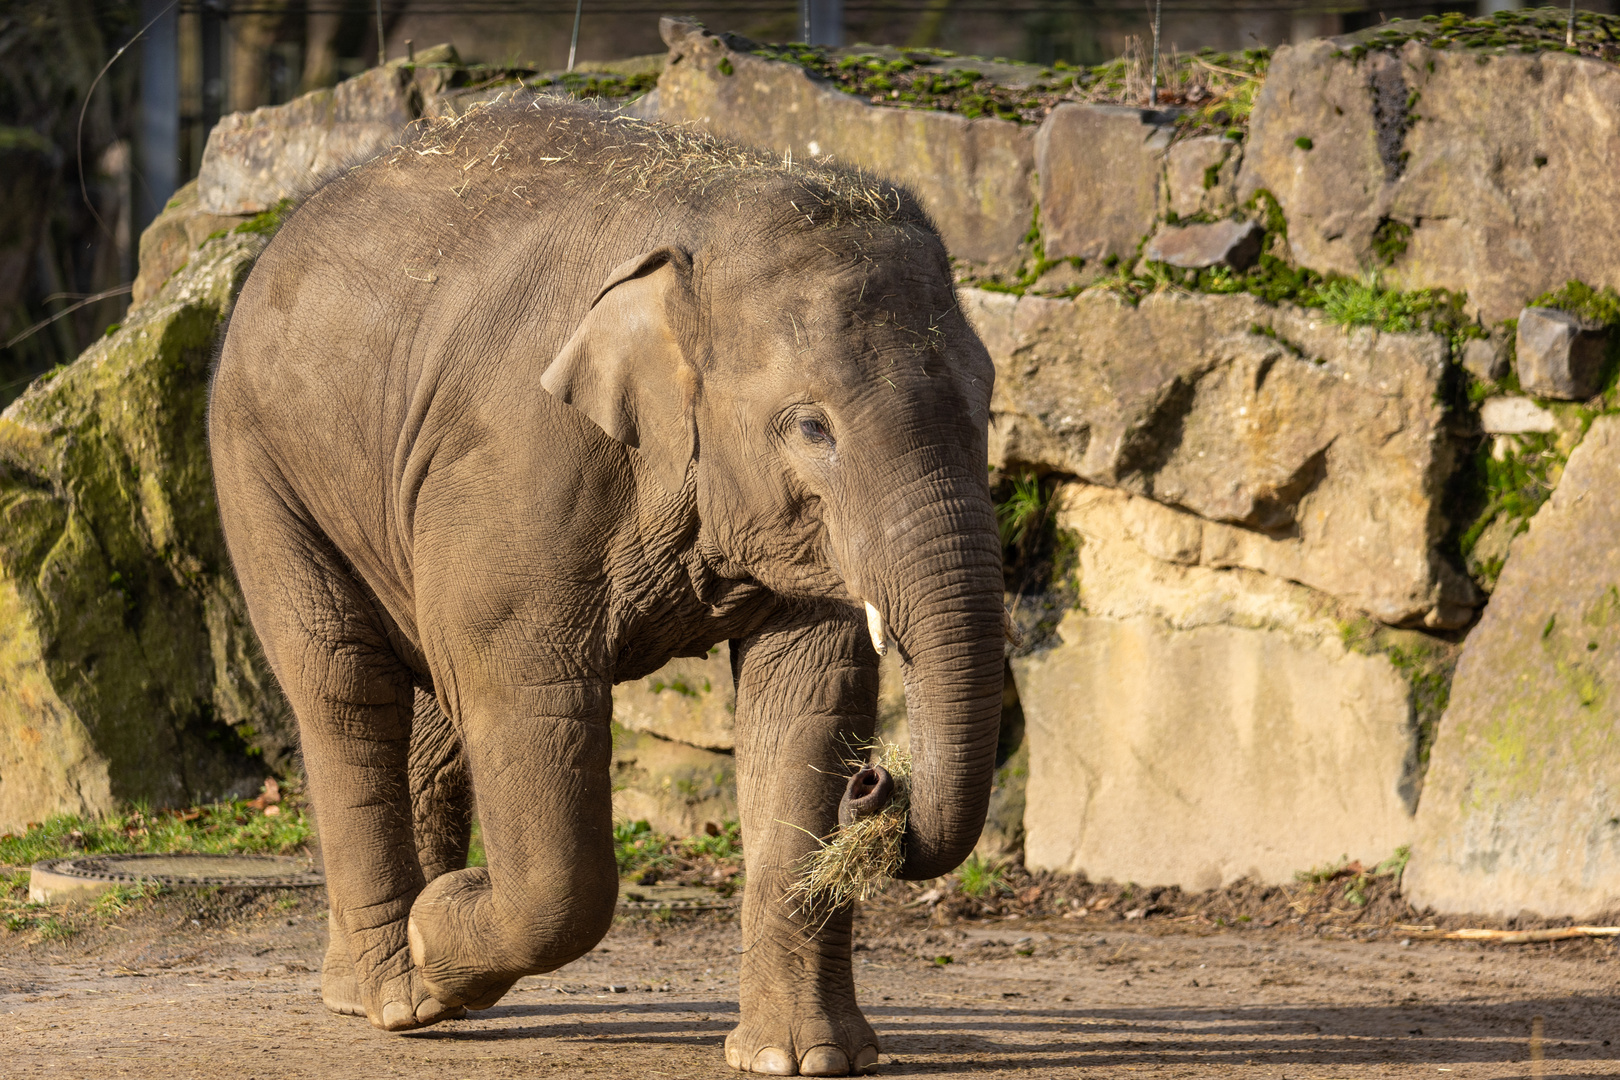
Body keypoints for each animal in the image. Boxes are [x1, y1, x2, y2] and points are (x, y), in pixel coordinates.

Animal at [208, 99, 1004, 1075]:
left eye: (988, 403)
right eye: (811, 427)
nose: (877, 783)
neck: (709, 214)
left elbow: (809, 700)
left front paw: (802, 1060)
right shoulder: (516, 468)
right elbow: (531, 706)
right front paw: (440, 930)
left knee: (426, 704)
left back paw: (384, 988)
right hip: (262, 464)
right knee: (343, 684)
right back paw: (401, 993)